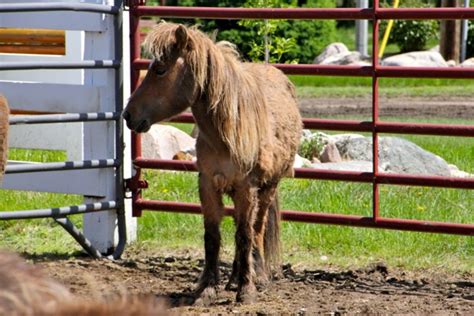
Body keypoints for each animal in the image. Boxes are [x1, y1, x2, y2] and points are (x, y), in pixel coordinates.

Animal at [121, 22, 300, 304]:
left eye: (160, 70)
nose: (128, 115)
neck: (225, 133)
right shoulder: (207, 185)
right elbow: (213, 236)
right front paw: (207, 289)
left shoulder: (246, 188)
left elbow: (245, 234)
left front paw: (246, 290)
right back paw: (233, 279)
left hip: (268, 187)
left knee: (257, 228)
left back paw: (258, 276)